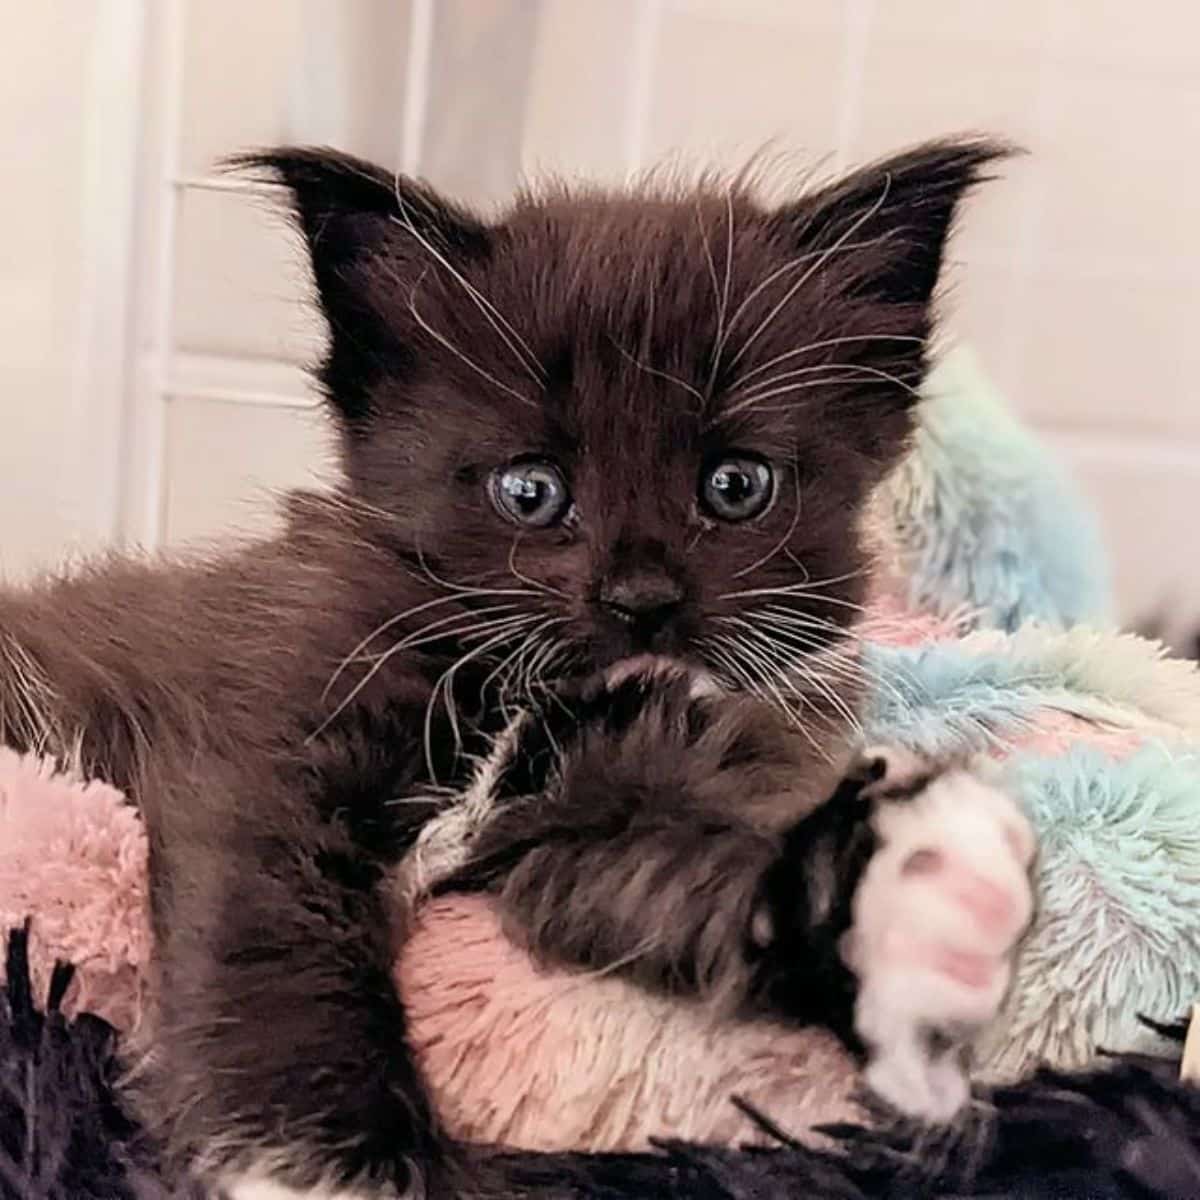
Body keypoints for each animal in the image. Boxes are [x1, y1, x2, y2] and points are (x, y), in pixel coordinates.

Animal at [2, 136, 1032, 1195]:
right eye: (530, 490)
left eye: (736, 485)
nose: (640, 598)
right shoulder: (264, 726)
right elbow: (269, 929)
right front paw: (326, 1164)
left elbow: (661, 867)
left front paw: (908, 909)